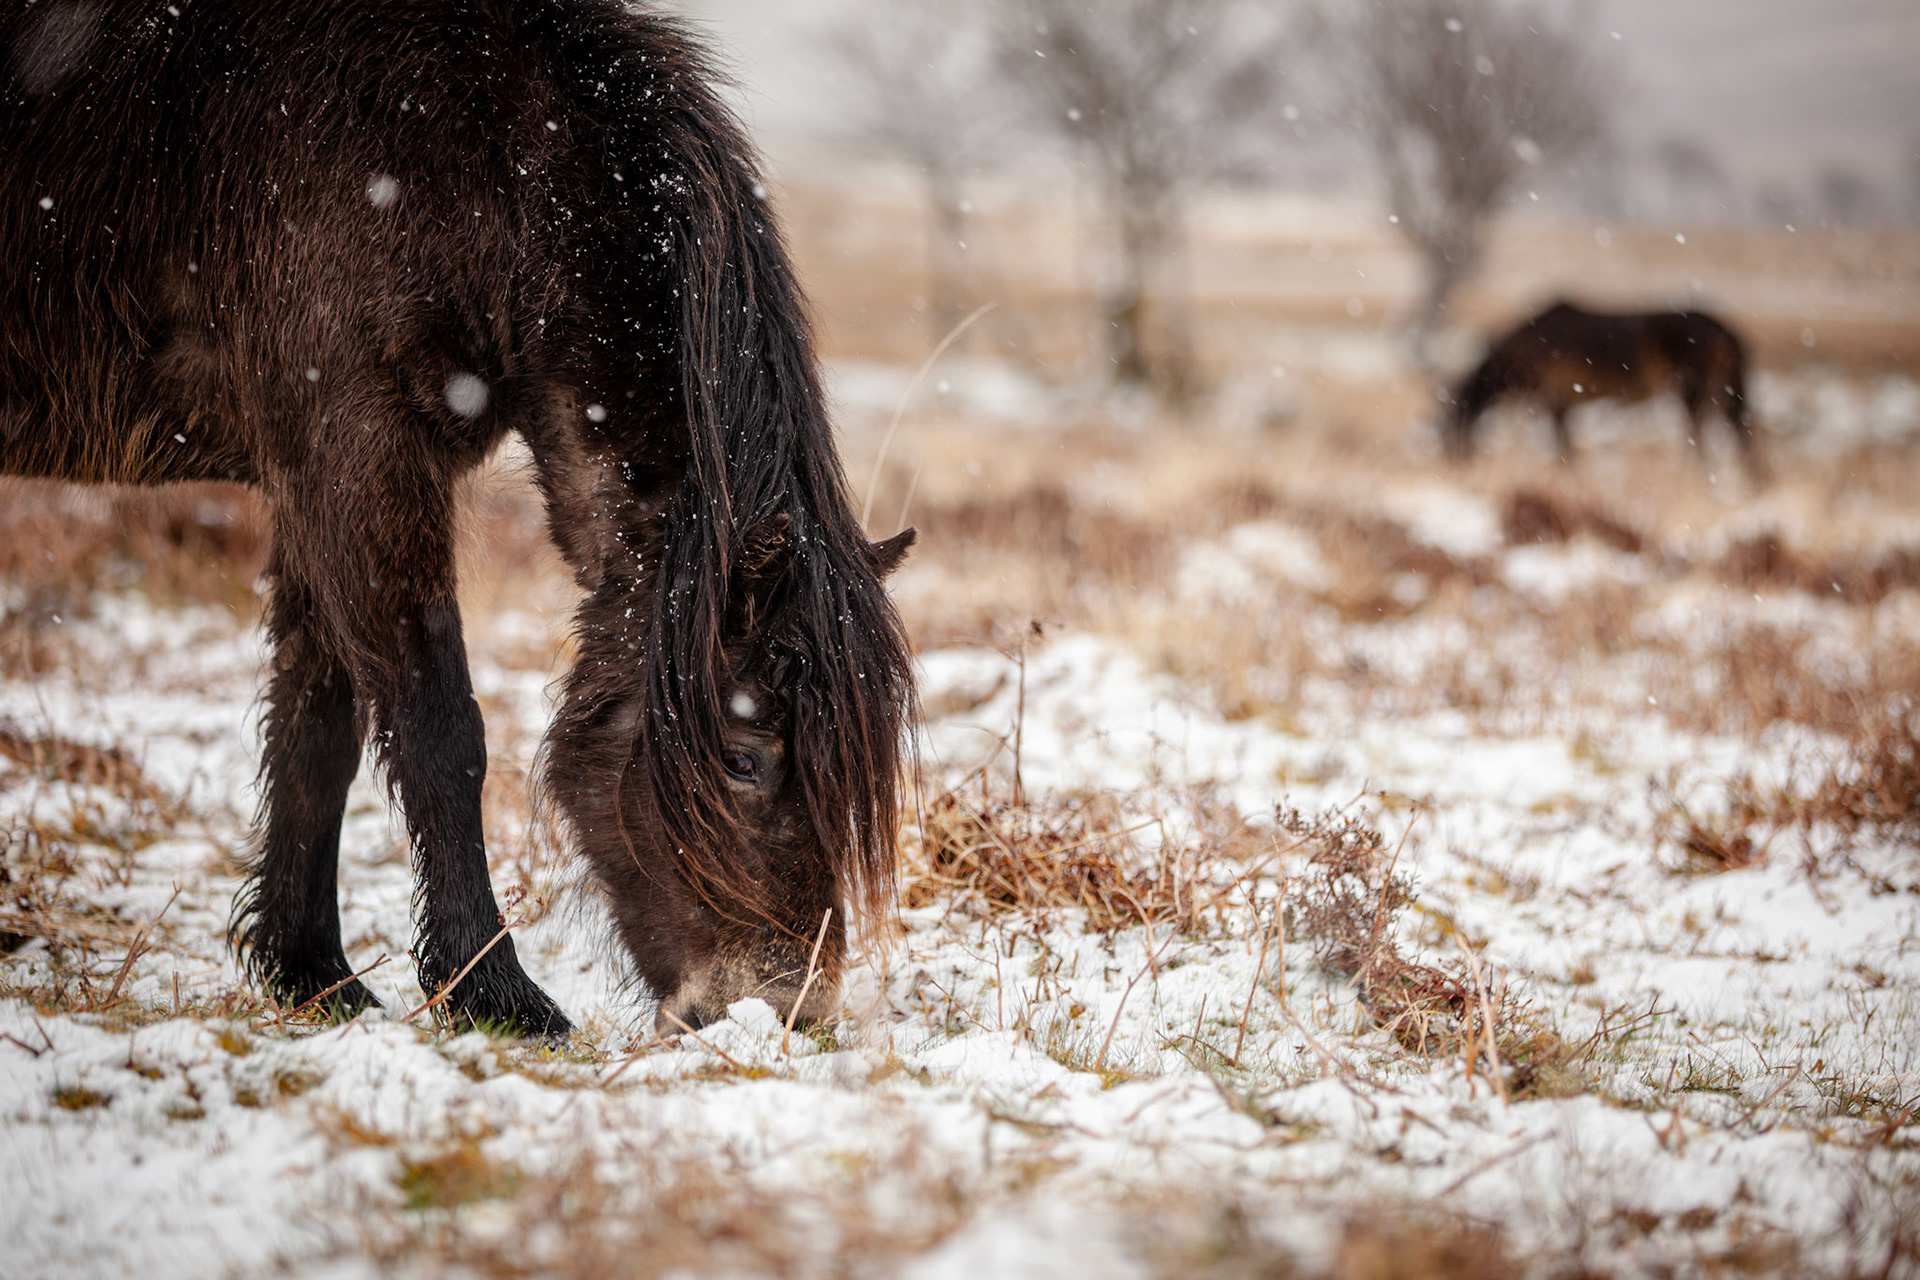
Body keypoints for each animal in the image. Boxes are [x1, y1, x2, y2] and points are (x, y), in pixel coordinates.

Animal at [0, 1, 916, 1038]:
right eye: (742, 757)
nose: (785, 1009)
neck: (490, 155)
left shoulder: (317, 477)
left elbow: (317, 727)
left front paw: (312, 974)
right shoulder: (364, 453)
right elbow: (440, 734)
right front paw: (496, 992)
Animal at [1442, 302, 1766, 482]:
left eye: (1454, 424)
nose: (1455, 467)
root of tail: (1725, 331)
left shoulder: (1555, 403)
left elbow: (1564, 450)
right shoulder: (1562, 405)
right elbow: (1567, 450)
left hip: (1694, 391)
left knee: (1698, 435)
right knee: (1739, 432)